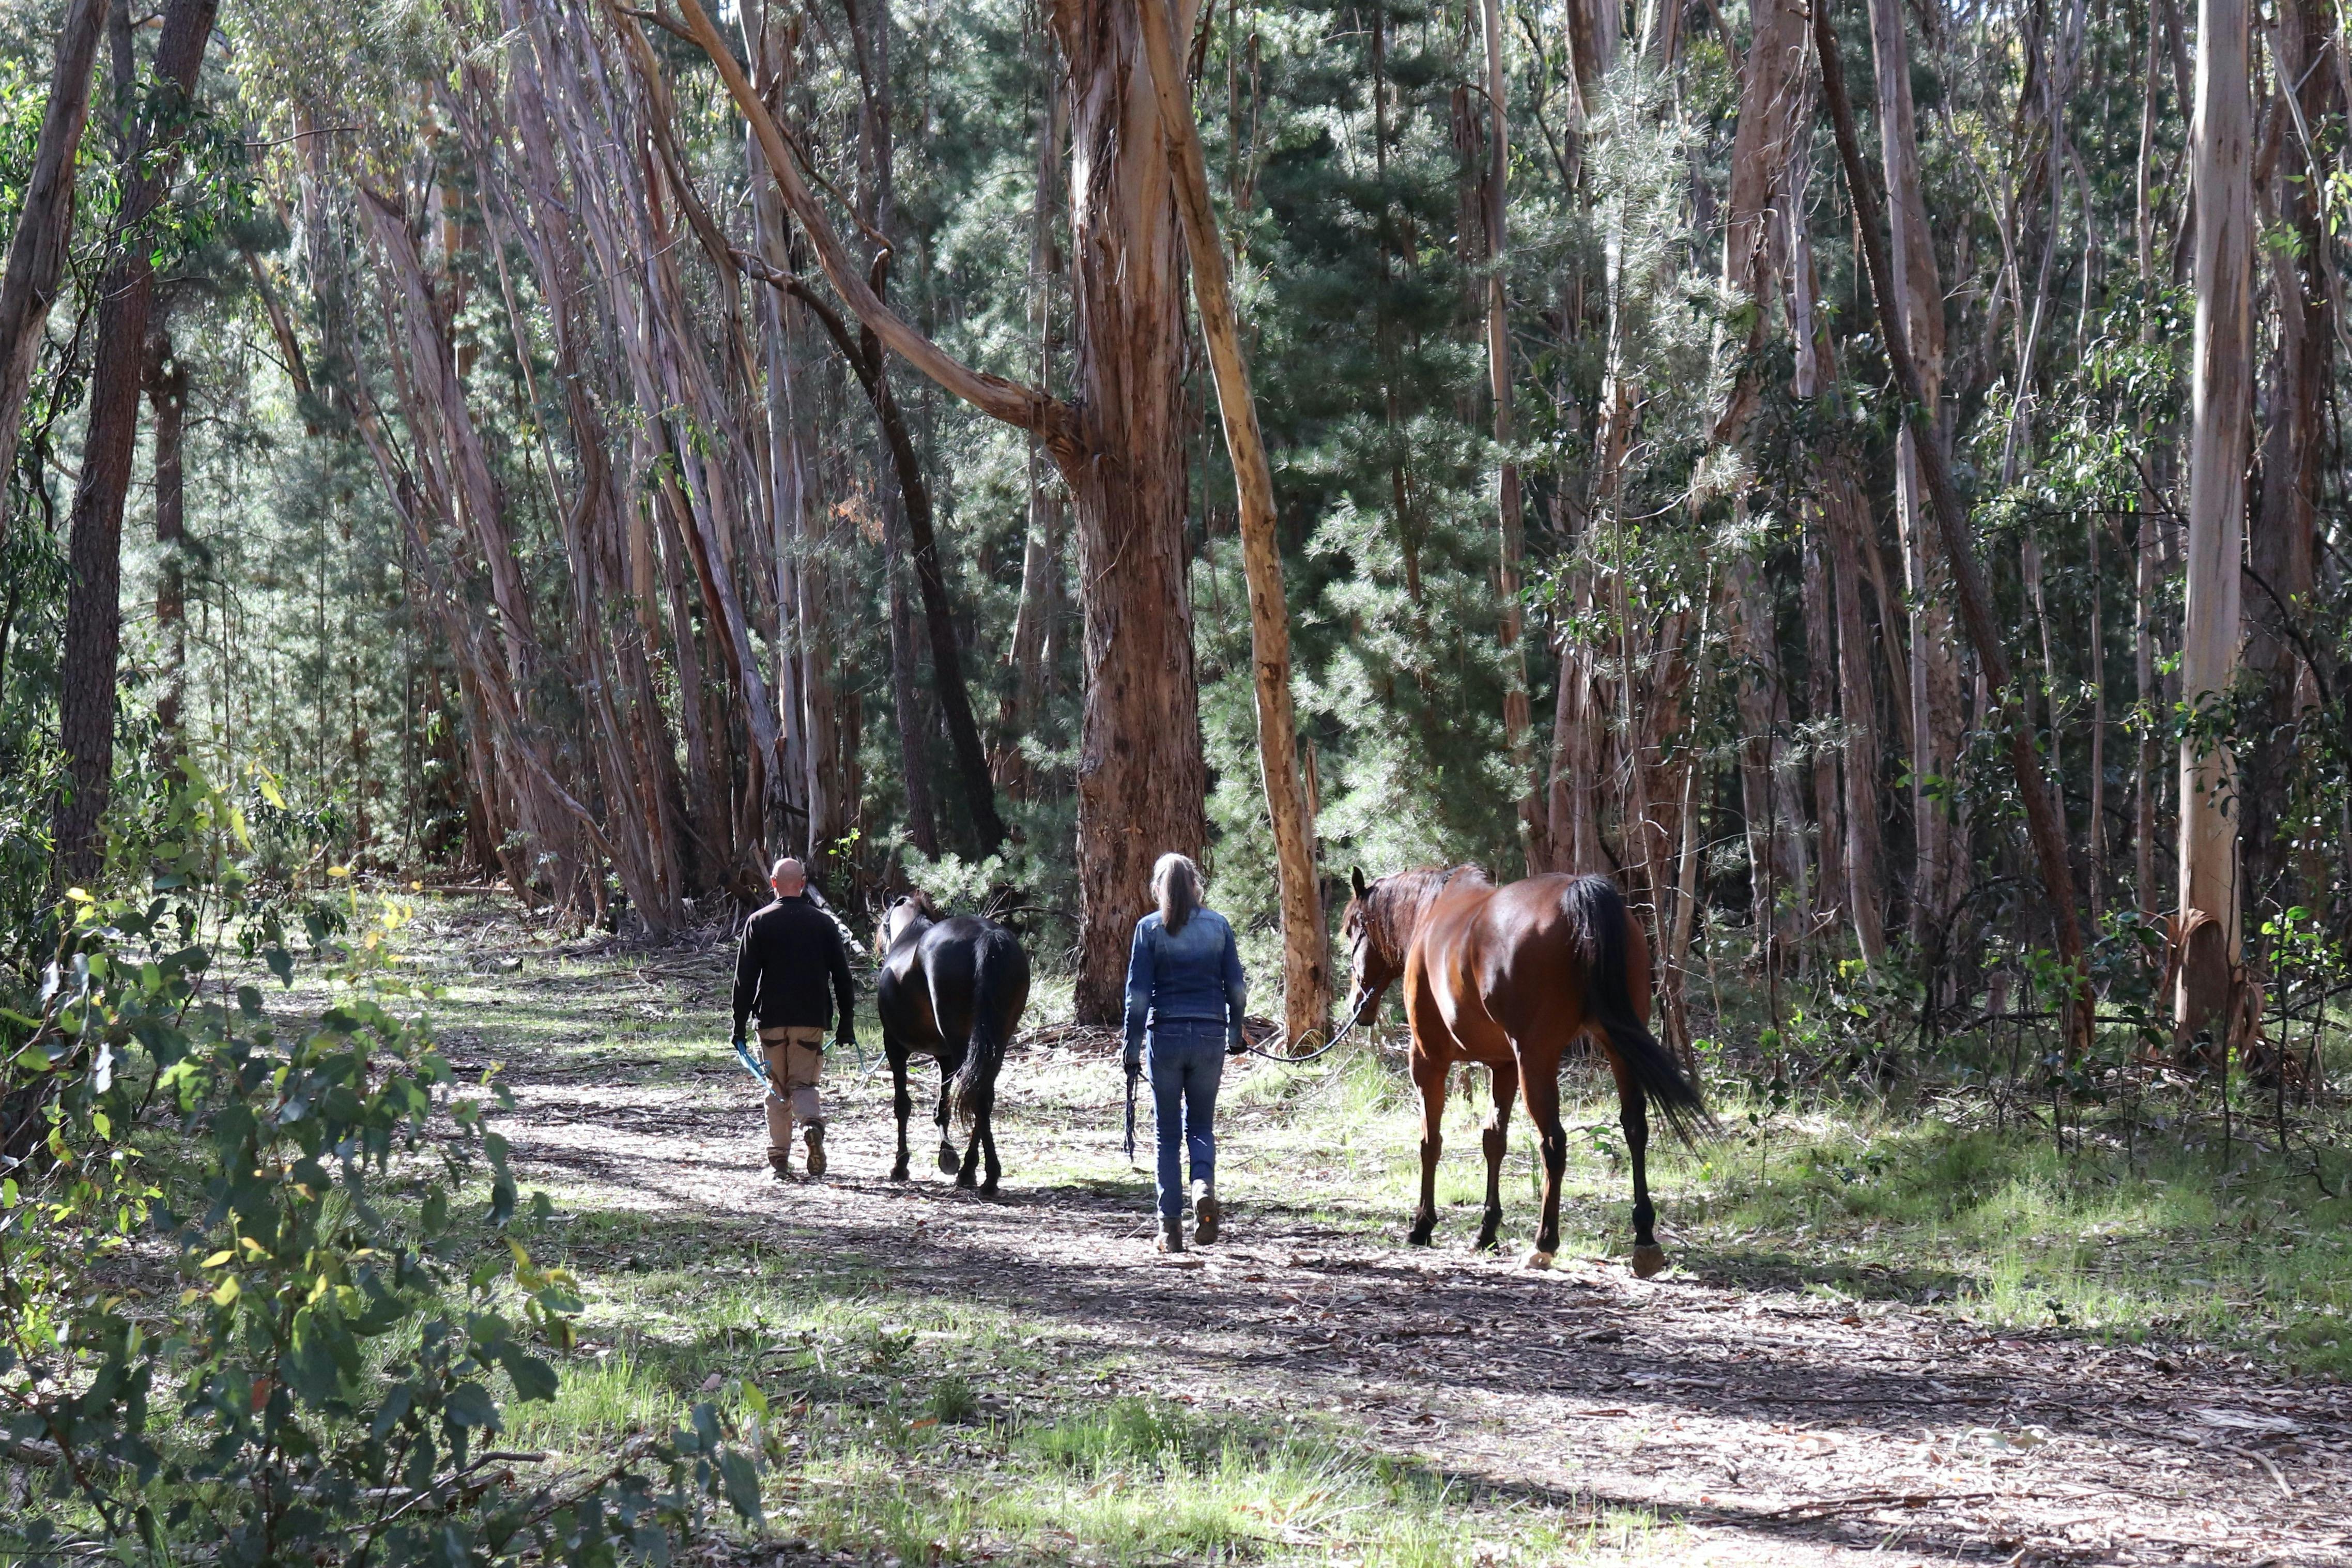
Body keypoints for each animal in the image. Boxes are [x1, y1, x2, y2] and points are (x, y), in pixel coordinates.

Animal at [874, 892, 1031, 1192]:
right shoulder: (944, 1057)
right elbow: (943, 1108)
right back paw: (972, 1170)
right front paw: (947, 1153)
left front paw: (901, 1165)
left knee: (977, 1096)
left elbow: (903, 1106)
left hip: (962, 1045)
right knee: (982, 1095)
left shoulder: (895, 1049)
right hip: (992, 1045)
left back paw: (986, 1175)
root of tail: (988, 937)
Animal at [1339, 865, 1707, 1275]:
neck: (1432, 911)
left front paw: (1422, 1225)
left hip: (1537, 1058)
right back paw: (1644, 1238)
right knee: (1634, 1128)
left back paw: (1543, 1243)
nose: (1357, 1007)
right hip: (1616, 1046)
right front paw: (1486, 1232)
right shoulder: (1503, 1067)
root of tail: (1578, 893)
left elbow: (1430, 1142)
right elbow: (1493, 1141)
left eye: (1353, 930)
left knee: (1554, 1143)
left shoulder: (1427, 1060)